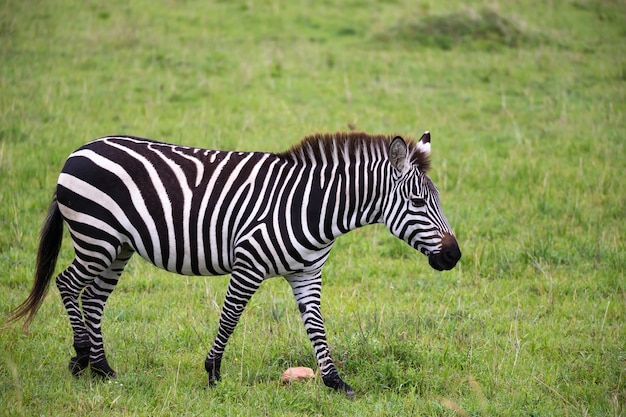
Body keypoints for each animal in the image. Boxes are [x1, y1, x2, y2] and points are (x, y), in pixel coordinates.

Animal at [7, 130, 460, 396]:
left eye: (437, 201)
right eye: (418, 201)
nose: (454, 256)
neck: (314, 207)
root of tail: (80, 149)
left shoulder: (307, 273)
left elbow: (316, 327)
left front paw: (335, 381)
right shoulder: (249, 263)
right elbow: (230, 317)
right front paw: (212, 372)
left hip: (117, 246)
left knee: (94, 298)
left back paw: (102, 369)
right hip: (95, 236)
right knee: (68, 284)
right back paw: (81, 356)